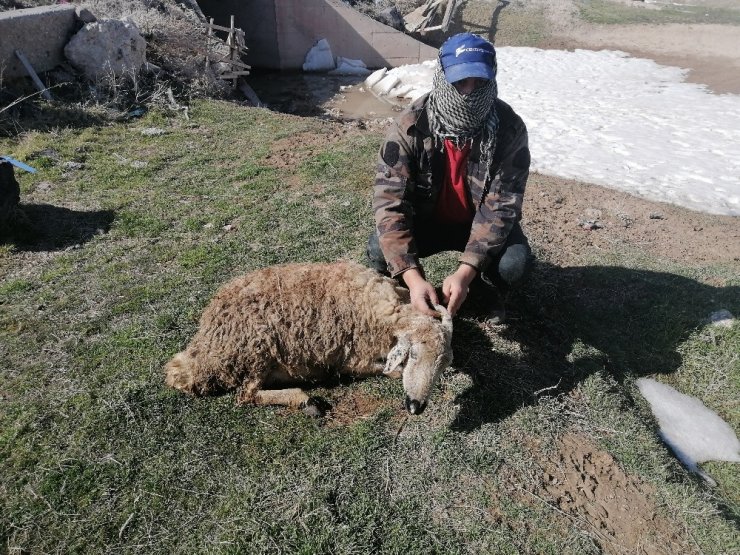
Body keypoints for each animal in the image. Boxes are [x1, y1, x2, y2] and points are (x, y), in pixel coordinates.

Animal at [165, 262, 454, 414]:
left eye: (443, 366)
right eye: (414, 353)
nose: (416, 406)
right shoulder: (352, 360)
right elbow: (390, 371)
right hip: (257, 347)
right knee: (247, 394)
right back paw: (305, 400)